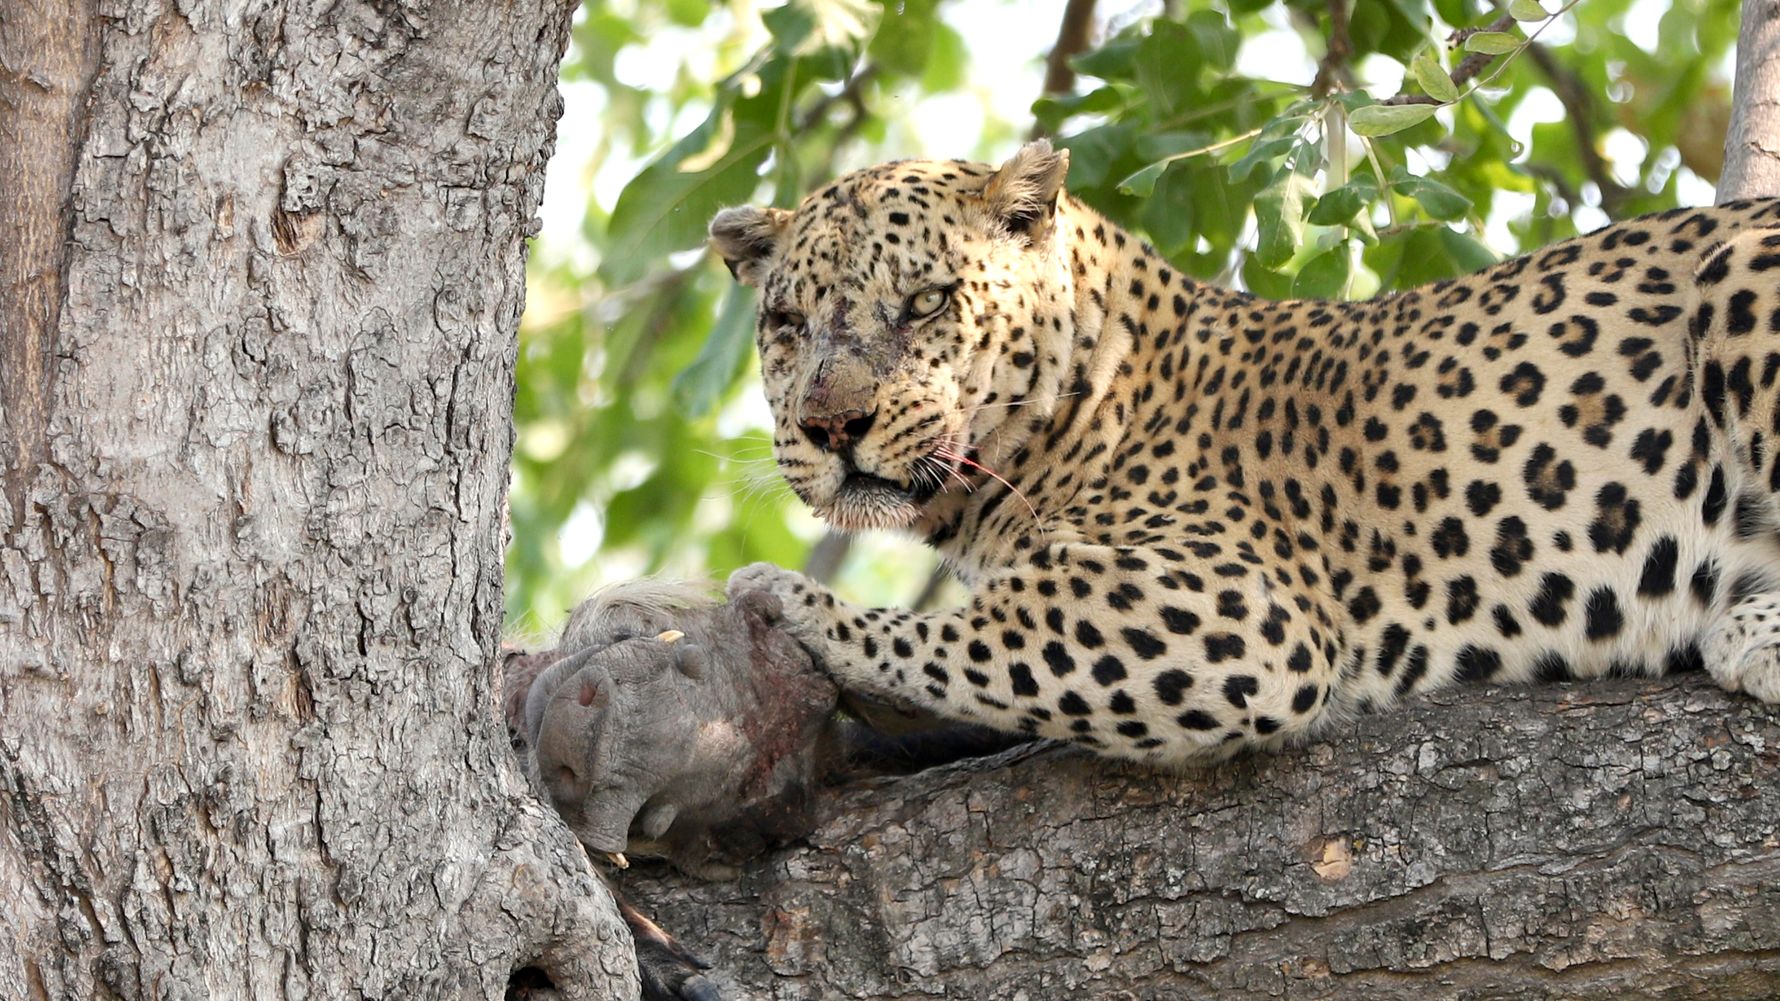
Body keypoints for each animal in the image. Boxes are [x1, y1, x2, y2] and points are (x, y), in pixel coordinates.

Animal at [708, 138, 1780, 766]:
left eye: (927, 301)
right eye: (788, 324)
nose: (831, 427)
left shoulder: (1239, 607)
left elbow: (975, 632)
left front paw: (786, 599)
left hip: (1740, 279)